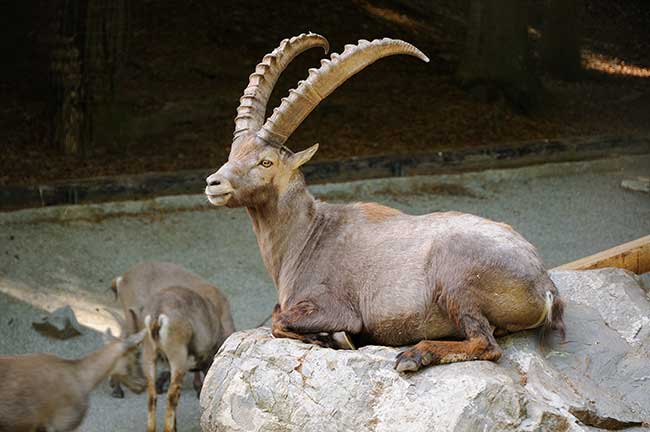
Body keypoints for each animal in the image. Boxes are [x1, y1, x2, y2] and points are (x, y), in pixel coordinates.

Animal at [204, 33, 560, 372]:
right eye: (233, 153)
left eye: (266, 162)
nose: (213, 183)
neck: (307, 236)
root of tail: (544, 287)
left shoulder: (335, 306)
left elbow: (281, 320)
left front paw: (331, 339)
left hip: (458, 283)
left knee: (486, 344)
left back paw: (414, 355)